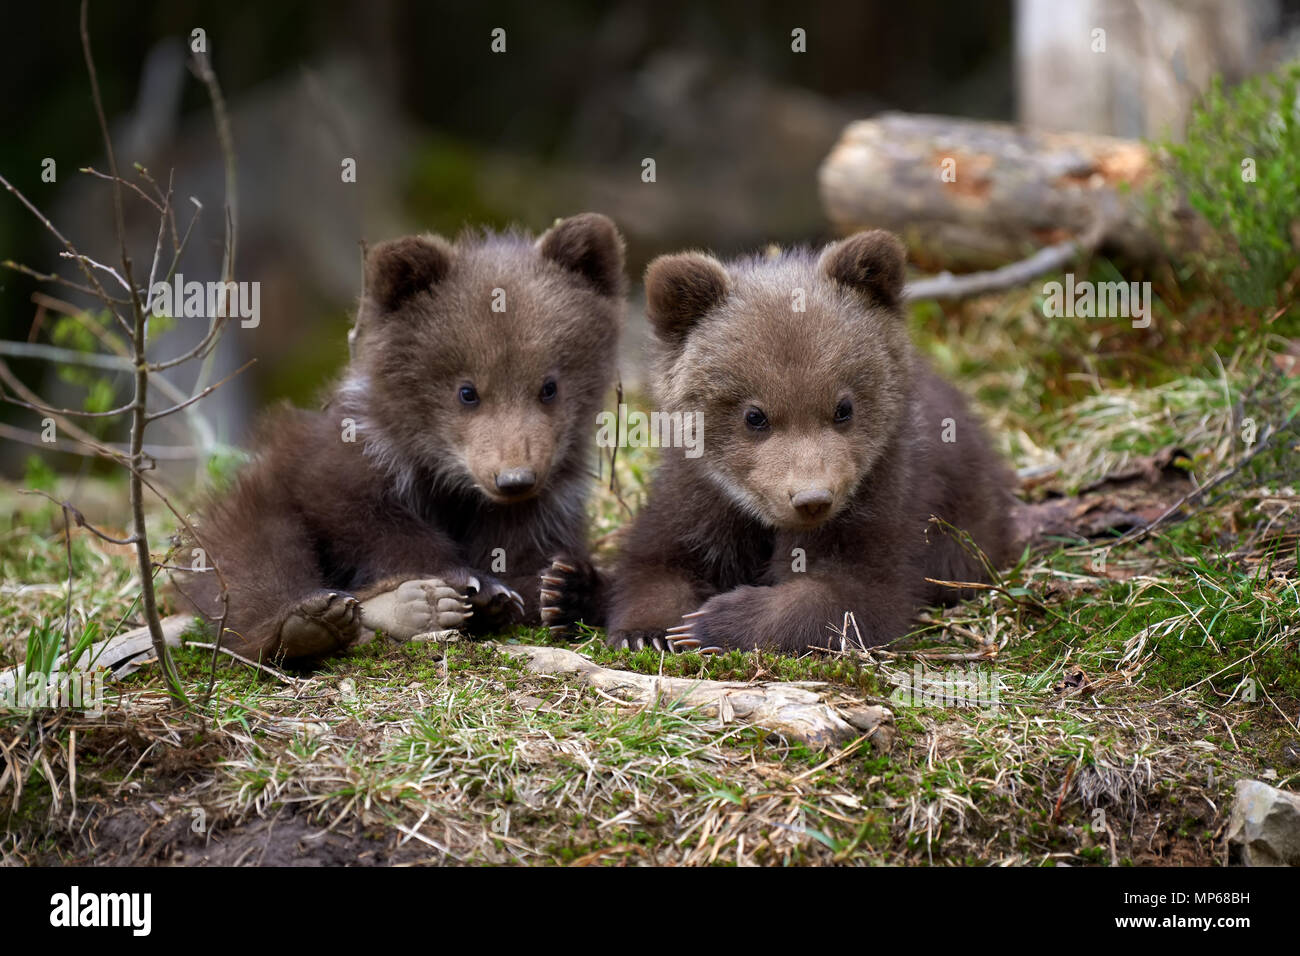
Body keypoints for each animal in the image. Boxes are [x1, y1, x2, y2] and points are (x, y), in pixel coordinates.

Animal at [172, 213, 624, 663]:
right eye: (467, 391)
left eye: (549, 386)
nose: (515, 479)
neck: (449, 478)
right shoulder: (355, 455)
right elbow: (365, 518)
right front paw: (474, 584)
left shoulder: (551, 500)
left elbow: (528, 555)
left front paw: (562, 588)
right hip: (256, 500)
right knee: (256, 554)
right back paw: (318, 620)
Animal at [603, 229, 1016, 654]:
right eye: (755, 415)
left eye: (843, 407)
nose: (812, 499)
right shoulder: (697, 495)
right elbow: (659, 563)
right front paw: (645, 633)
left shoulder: (886, 500)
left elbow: (854, 596)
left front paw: (712, 622)